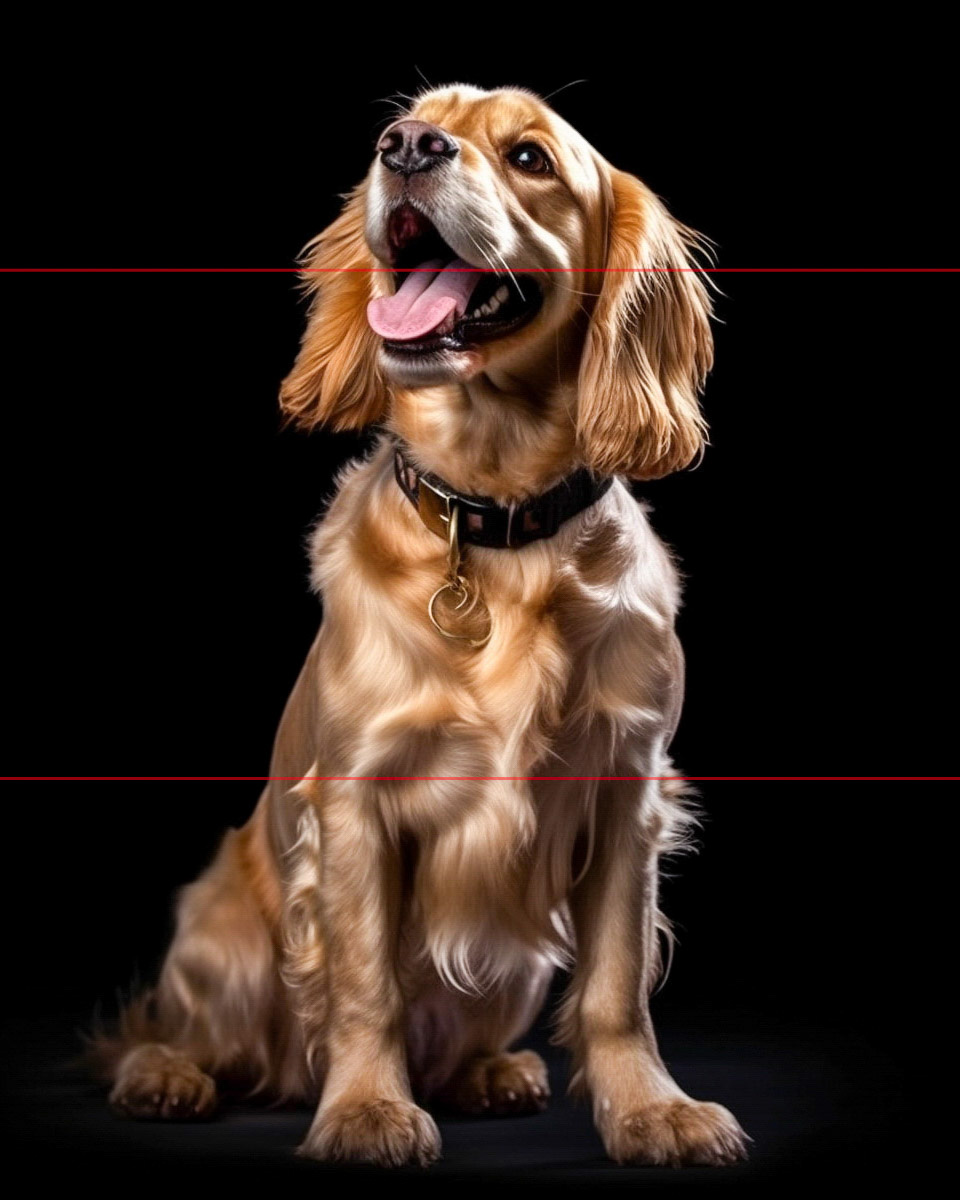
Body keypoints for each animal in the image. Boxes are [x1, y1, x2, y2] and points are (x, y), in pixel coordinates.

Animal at [101, 87, 753, 1171]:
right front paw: (366, 1109)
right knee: (188, 1033)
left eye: (531, 156)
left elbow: (616, 986)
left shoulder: (627, 791)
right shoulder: (359, 799)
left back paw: (489, 1073)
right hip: (221, 936)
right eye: (402, 123)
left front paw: (650, 1110)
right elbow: (366, 983)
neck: (493, 519)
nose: (405, 148)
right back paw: (167, 1077)